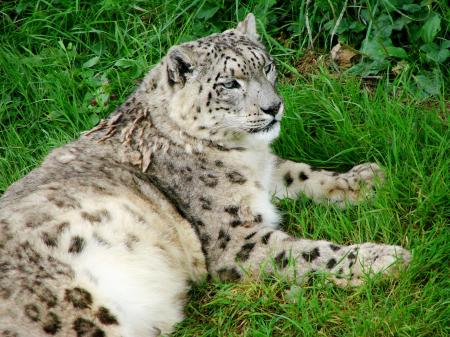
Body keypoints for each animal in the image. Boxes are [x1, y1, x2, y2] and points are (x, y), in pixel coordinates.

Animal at [0, 13, 412, 336]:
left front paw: (366, 179)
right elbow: (309, 253)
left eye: (267, 66)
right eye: (230, 83)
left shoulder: (265, 174)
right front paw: (383, 258)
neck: (245, 157)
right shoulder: (236, 238)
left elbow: (302, 173)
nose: (274, 107)